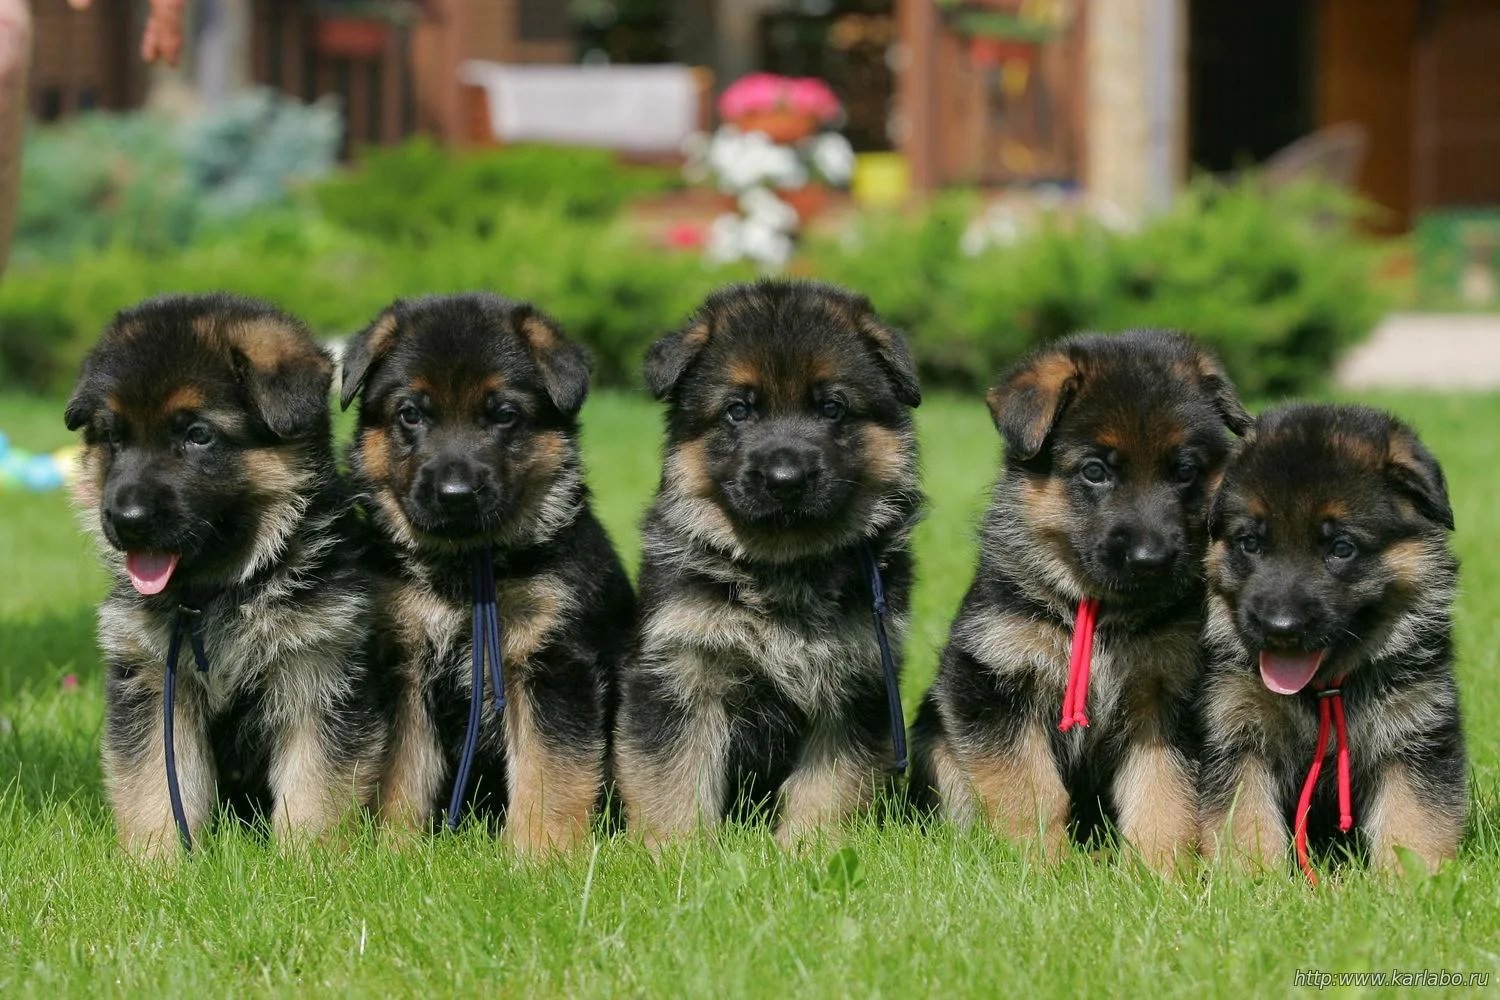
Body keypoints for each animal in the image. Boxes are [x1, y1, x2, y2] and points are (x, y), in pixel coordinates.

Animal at [65, 293, 384, 857]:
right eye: (113, 438)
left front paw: (309, 862)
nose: (125, 519)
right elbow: (155, 786)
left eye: (198, 436)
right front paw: (155, 864)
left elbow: (315, 787)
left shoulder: (319, 673)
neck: (220, 591)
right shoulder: (152, 683)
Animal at [343, 290, 636, 851]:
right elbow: (401, 774)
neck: (468, 569)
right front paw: (394, 850)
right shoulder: (405, 666)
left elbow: (549, 774)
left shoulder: (552, 665)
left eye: (503, 415)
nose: (455, 496)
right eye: (410, 414)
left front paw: (541, 854)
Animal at [612, 280, 924, 845]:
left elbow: (827, 789)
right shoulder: (679, 671)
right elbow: (674, 779)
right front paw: (676, 852)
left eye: (832, 408)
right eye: (738, 410)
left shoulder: (855, 685)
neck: (785, 566)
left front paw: (805, 850)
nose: (786, 479)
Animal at [912, 328, 1254, 869]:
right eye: (1095, 471)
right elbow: (1029, 790)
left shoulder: (1165, 699)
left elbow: (1163, 795)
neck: (1102, 612)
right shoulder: (991, 683)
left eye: (1184, 472)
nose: (1151, 558)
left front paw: (1159, 871)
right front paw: (1039, 866)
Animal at [1194, 404, 1464, 875]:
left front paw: (1413, 882)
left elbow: (1413, 820)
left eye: (1341, 548)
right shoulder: (1234, 730)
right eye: (1250, 543)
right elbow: (1245, 819)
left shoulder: (1415, 732)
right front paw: (1254, 880)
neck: (1323, 689)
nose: (1280, 627)